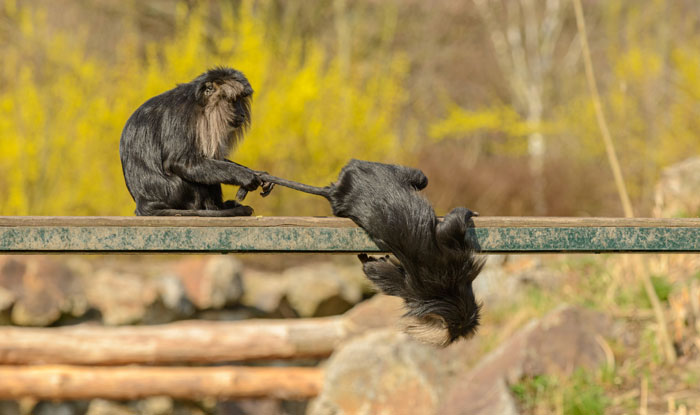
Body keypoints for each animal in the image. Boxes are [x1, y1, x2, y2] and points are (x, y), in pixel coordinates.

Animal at [119, 67, 273, 216]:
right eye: (234, 100)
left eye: (241, 99)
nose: (242, 113)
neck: (200, 105)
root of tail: (144, 204)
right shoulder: (182, 116)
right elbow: (180, 163)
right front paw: (244, 175)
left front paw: (259, 174)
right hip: (177, 192)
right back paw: (218, 209)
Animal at [239, 159, 485, 347]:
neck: (448, 294)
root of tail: (336, 191)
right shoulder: (449, 262)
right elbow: (450, 227)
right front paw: (468, 212)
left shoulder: (413, 287)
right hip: (371, 168)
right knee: (418, 177)